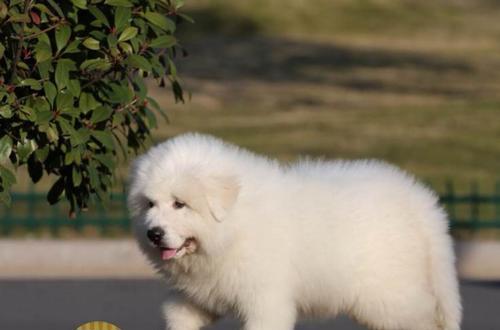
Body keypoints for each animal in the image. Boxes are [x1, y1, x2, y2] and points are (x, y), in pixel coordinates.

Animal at [128, 133, 460, 328]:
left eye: (179, 204)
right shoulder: (205, 291)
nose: (153, 234)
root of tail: (419, 200)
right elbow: (179, 313)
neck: (234, 225)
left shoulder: (265, 298)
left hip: (390, 294)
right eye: (150, 204)